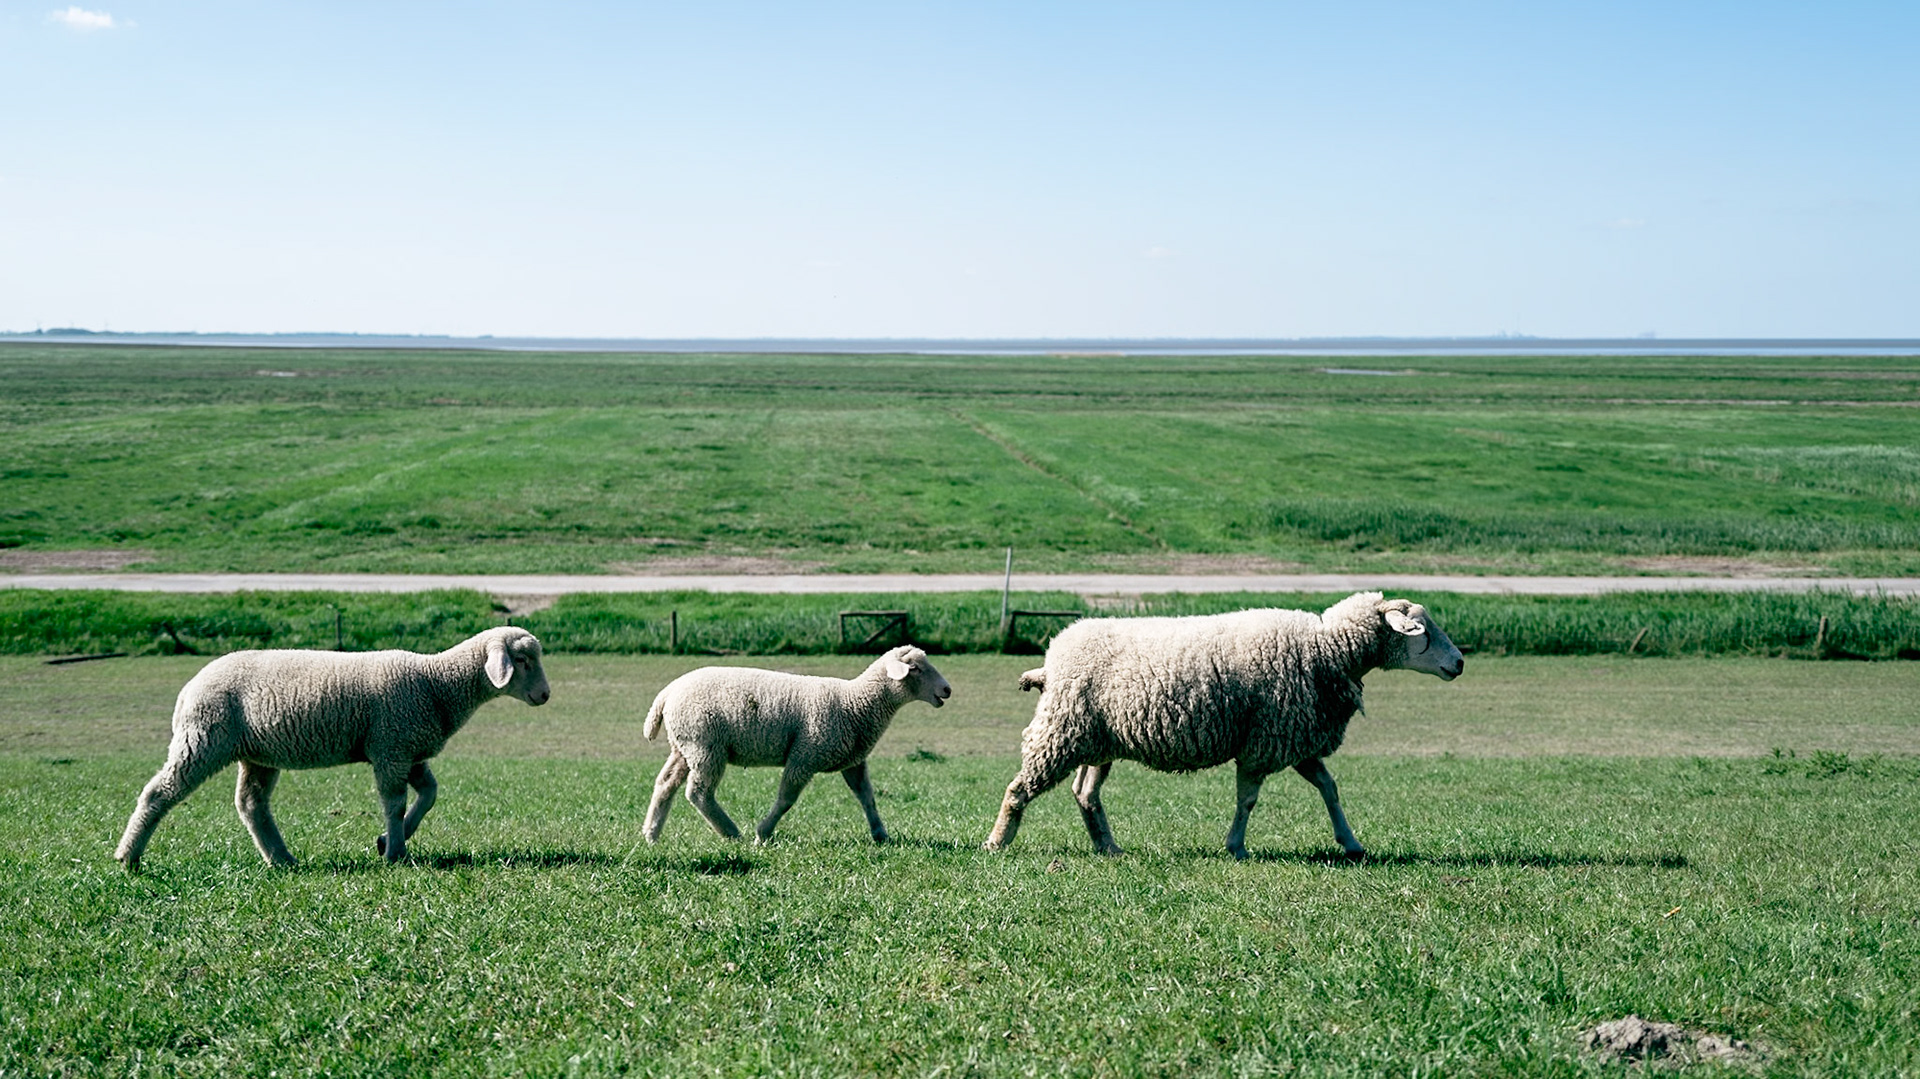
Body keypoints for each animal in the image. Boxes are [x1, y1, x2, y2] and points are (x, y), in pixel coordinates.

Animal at [114, 626, 551, 871]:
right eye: (522, 659)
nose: (546, 696)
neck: (436, 682)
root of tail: (188, 688)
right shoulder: (390, 748)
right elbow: (394, 803)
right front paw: (396, 853)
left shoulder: (408, 750)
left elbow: (429, 794)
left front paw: (389, 841)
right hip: (203, 739)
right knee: (158, 793)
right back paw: (128, 857)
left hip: (257, 754)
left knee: (251, 804)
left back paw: (281, 860)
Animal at [642, 645, 952, 845]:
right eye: (915, 668)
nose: (947, 689)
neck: (855, 702)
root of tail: (667, 693)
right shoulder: (805, 756)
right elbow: (786, 799)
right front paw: (763, 833)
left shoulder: (852, 760)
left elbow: (867, 798)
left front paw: (880, 834)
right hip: (705, 746)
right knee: (699, 793)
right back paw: (732, 833)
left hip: (684, 746)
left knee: (665, 784)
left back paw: (651, 834)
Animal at [982, 592, 1463, 860]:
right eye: (1421, 629)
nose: (1459, 662)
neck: (1326, 649)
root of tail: (1051, 659)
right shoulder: (1265, 741)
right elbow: (1248, 800)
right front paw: (1236, 847)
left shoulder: (1296, 739)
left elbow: (1330, 789)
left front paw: (1351, 842)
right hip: (1060, 731)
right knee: (1018, 788)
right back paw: (997, 841)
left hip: (1096, 740)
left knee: (1085, 793)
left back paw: (1108, 848)